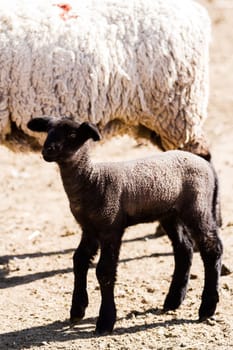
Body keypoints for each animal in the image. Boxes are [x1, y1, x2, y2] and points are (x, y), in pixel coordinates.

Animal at [27, 116, 224, 334]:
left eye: (72, 134)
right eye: (48, 131)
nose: (47, 150)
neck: (93, 180)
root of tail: (208, 166)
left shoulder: (110, 227)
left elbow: (104, 271)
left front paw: (105, 321)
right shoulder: (89, 229)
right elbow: (79, 261)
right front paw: (77, 309)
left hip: (197, 207)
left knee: (211, 248)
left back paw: (207, 307)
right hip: (170, 214)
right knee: (184, 249)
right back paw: (173, 300)